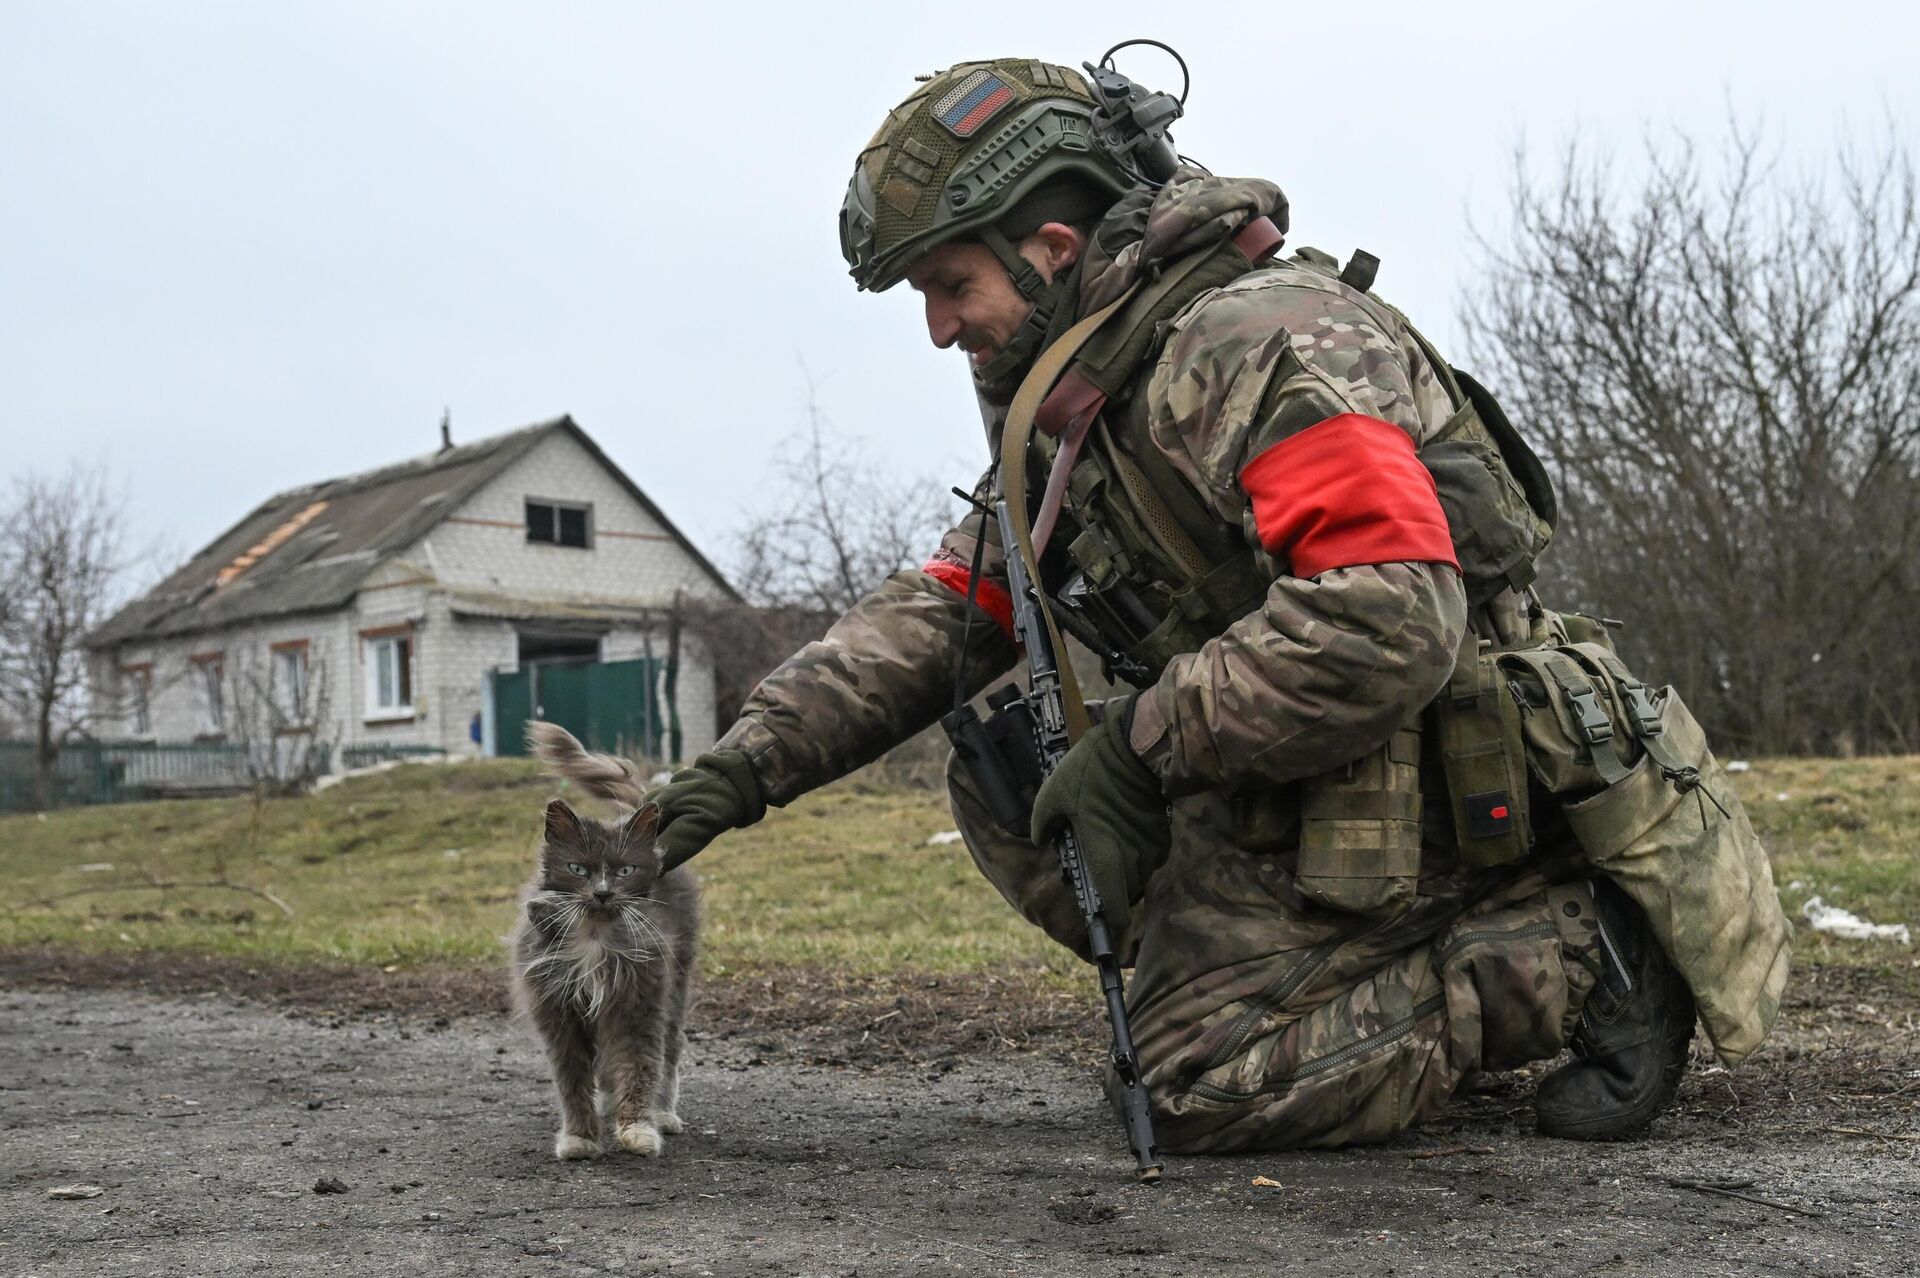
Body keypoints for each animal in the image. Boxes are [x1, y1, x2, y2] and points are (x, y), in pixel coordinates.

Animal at [510, 721, 698, 1159]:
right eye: (578, 869)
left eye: (625, 870)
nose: (602, 893)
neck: (594, 935)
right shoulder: (560, 1014)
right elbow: (573, 1081)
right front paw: (580, 1136)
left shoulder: (639, 1005)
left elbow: (640, 1068)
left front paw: (638, 1129)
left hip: (675, 986)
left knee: (669, 1052)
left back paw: (662, 1113)